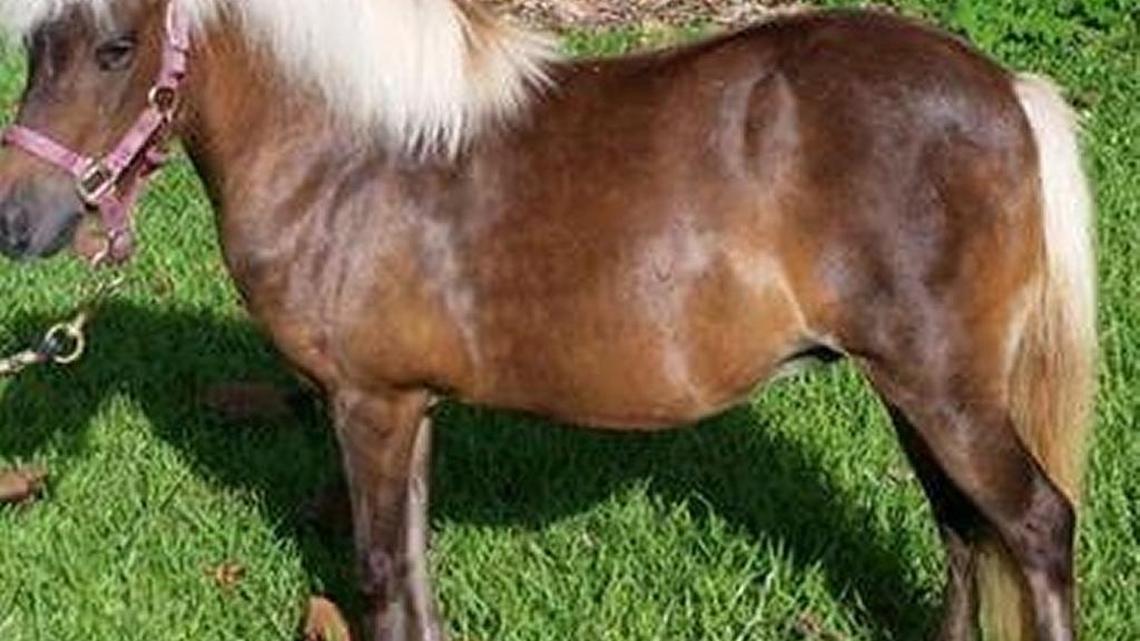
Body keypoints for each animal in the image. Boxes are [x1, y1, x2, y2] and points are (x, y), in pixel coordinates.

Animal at [0, 1, 1097, 640]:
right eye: (34, 48)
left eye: (117, 47)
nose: (19, 218)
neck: (355, 153)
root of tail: (1007, 90)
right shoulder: (409, 404)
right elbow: (415, 571)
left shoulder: (368, 403)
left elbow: (382, 572)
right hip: (915, 390)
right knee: (963, 530)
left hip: (943, 389)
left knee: (1034, 525)